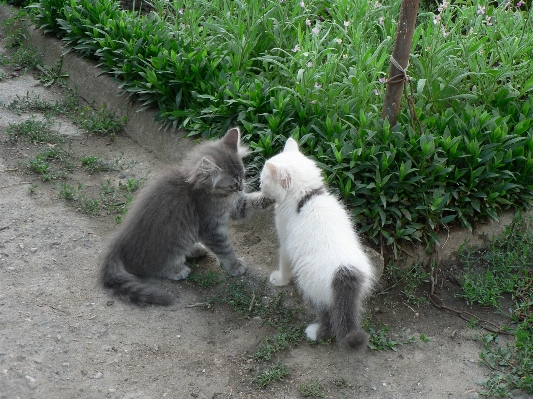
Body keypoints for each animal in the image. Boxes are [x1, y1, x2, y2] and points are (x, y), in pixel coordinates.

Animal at [101, 128, 270, 306]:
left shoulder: (235, 206)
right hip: (178, 236)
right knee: (151, 266)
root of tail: (121, 241)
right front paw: (234, 265)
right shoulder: (211, 227)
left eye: (243, 176)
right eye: (232, 185)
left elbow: (251, 201)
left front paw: (271, 194)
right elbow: (225, 248)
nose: (241, 188)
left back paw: (194, 250)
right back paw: (177, 269)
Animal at [260, 138, 376, 350]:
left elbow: (284, 261)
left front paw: (280, 279)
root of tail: (344, 272)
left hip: (311, 284)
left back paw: (315, 333)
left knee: (328, 317)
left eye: (263, 181)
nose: (259, 187)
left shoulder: (286, 241)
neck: (306, 196)